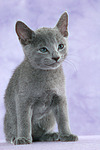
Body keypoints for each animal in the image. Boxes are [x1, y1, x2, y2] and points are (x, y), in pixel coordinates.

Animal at [4, 12, 78, 145]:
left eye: (60, 46)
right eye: (43, 49)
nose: (56, 57)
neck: (47, 77)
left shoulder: (60, 97)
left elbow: (64, 118)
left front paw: (67, 135)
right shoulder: (23, 100)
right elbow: (24, 122)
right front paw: (23, 138)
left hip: (49, 119)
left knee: (39, 135)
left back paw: (51, 135)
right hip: (10, 118)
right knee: (11, 132)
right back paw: (14, 138)